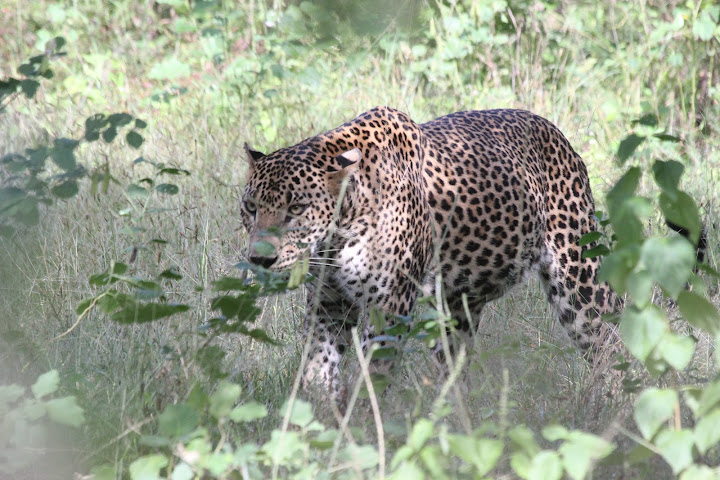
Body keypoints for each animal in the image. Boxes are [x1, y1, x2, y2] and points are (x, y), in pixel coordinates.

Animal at [239, 107, 620, 404]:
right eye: (251, 207)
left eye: (297, 209)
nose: (260, 260)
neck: (336, 238)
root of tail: (554, 130)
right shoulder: (327, 303)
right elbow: (317, 367)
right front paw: (315, 424)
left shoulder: (389, 308)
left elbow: (372, 378)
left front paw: (361, 428)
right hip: (457, 306)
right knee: (454, 363)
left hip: (580, 279)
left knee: (609, 342)